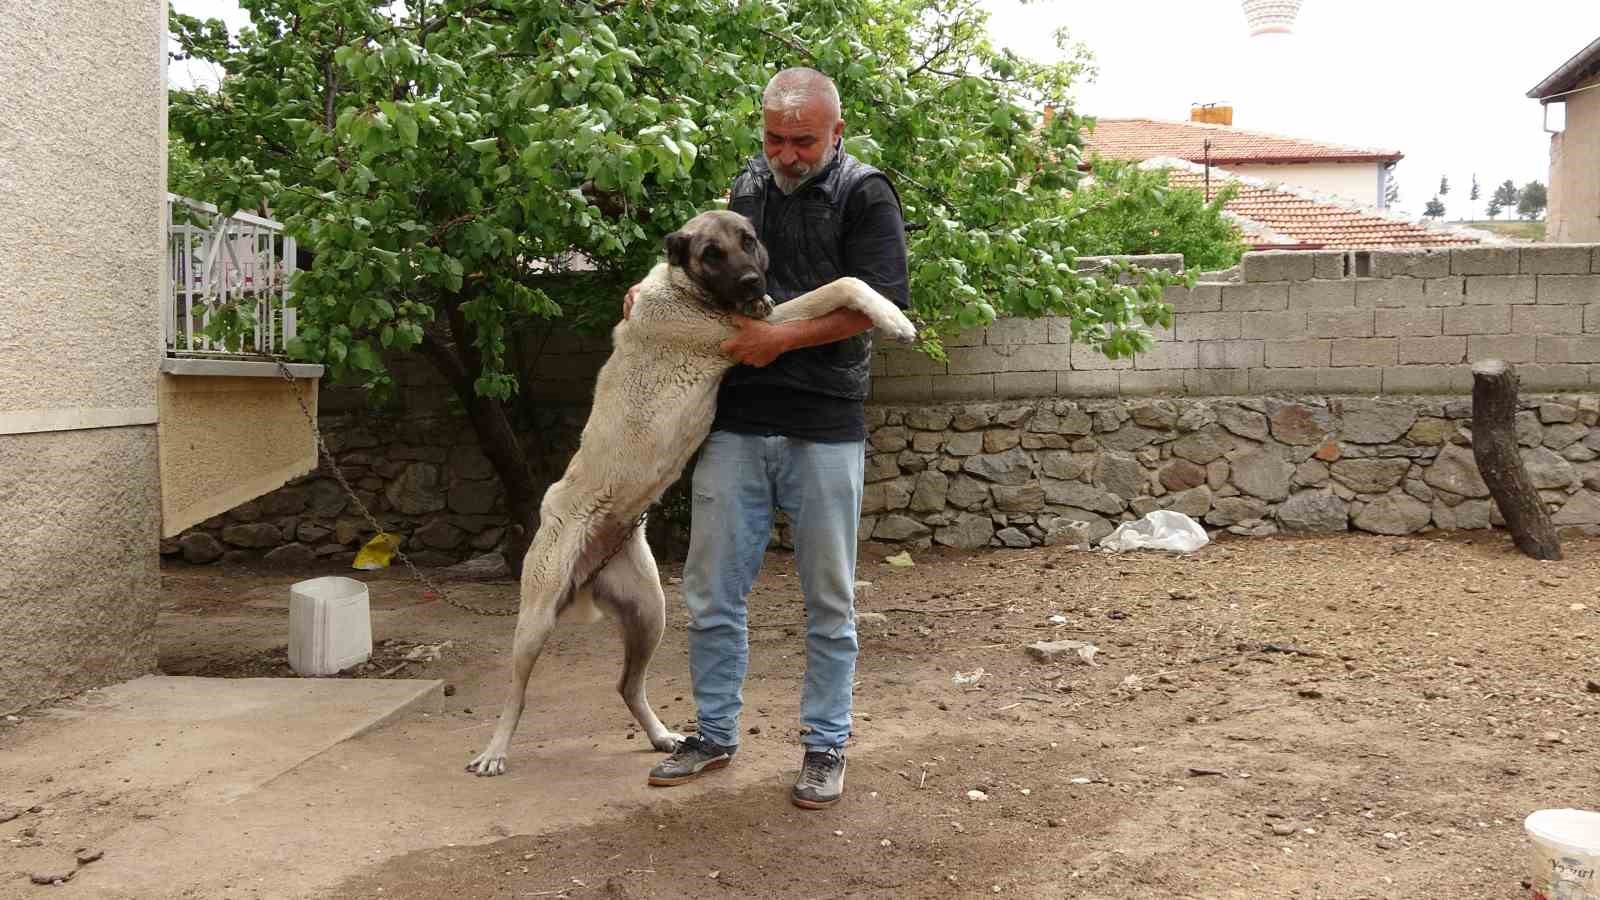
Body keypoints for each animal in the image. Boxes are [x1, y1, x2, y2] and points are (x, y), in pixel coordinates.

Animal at [467, 208, 915, 771]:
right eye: (711, 253)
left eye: (749, 240)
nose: (752, 281)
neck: (686, 288)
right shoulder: (750, 334)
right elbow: (844, 282)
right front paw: (895, 319)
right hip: (536, 618)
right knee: (516, 694)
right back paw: (495, 750)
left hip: (650, 613)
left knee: (626, 686)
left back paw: (664, 737)